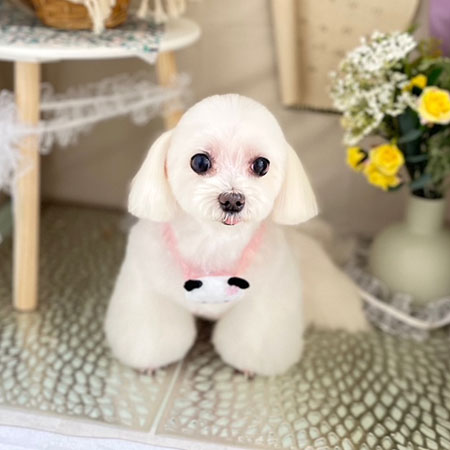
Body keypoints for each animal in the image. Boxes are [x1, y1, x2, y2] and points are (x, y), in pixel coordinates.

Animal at [104, 94, 368, 376]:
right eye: (200, 162)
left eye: (261, 165)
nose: (232, 200)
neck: (213, 244)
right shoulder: (150, 289)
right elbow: (151, 331)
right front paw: (150, 363)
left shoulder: (264, 298)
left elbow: (252, 336)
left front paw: (249, 368)